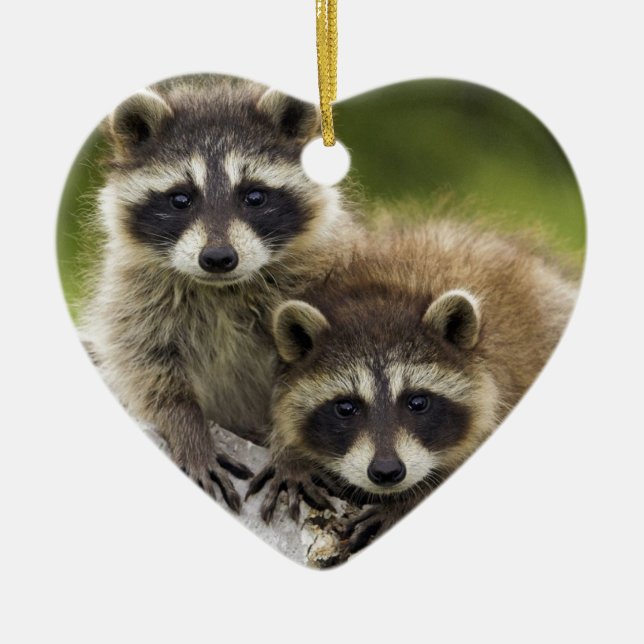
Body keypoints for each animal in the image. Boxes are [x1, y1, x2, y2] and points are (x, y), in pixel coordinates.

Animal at [80, 74, 355, 511]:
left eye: (254, 196)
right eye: (180, 198)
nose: (218, 258)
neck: (222, 288)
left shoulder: (323, 278)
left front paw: (292, 453)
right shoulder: (134, 292)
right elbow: (144, 365)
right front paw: (188, 428)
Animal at [249, 218, 578, 550]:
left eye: (417, 402)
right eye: (345, 407)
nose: (386, 472)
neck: (387, 289)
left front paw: (408, 499)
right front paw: (290, 454)